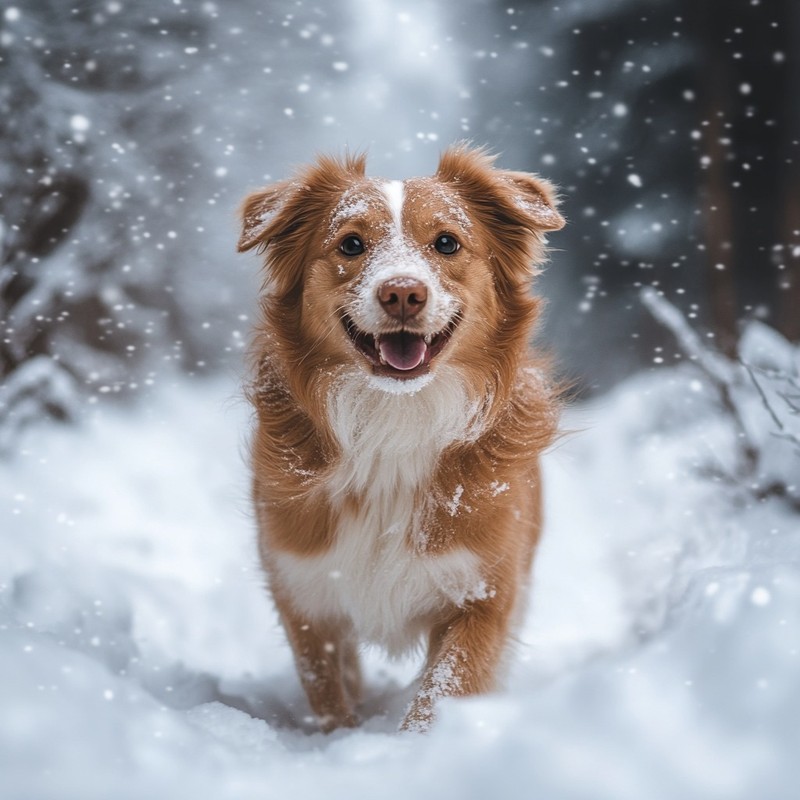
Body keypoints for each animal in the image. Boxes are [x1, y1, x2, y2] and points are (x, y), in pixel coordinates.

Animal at [236, 144, 564, 732]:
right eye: (351, 244)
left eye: (447, 242)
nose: (403, 293)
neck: (395, 421)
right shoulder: (303, 586)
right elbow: (326, 685)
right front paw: (340, 738)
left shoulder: (485, 591)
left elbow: (444, 689)